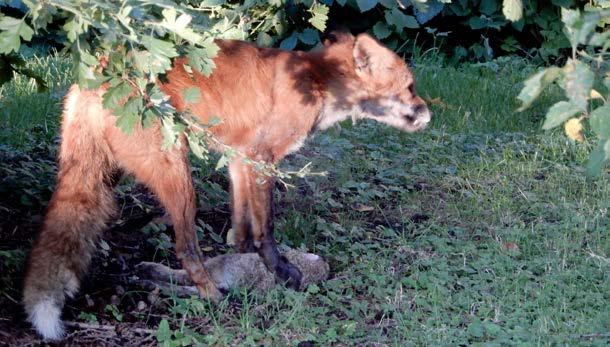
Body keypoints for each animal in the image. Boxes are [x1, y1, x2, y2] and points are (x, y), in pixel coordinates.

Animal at [23, 31, 430, 342]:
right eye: (410, 87)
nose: (429, 112)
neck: (317, 80)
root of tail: (99, 73)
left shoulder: (239, 161)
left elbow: (243, 227)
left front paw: (247, 261)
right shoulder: (263, 159)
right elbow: (267, 231)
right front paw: (282, 273)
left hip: (102, 174)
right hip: (178, 175)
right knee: (185, 249)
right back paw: (211, 295)